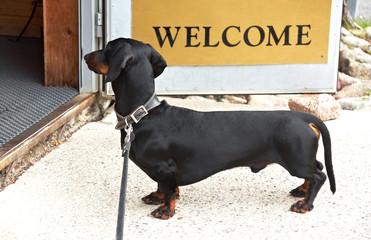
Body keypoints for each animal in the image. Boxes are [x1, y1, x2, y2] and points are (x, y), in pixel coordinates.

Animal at [85, 38, 338, 220]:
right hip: (301, 158)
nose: (85, 55)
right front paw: (156, 197)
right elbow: (162, 187)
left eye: (107, 48)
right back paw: (302, 191)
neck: (144, 114)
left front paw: (166, 210)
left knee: (319, 175)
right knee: (316, 168)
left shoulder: (165, 168)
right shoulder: (162, 171)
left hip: (296, 161)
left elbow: (169, 191)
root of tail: (303, 116)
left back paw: (305, 204)